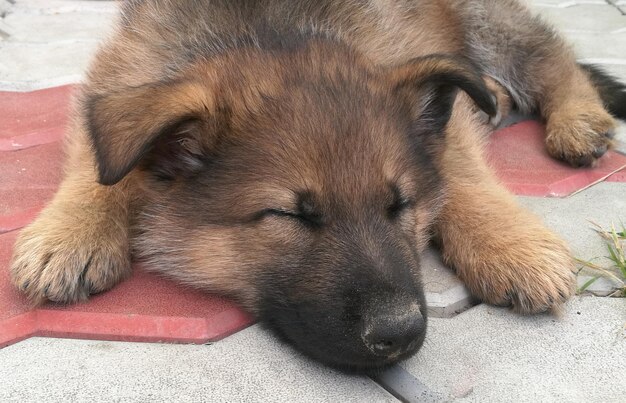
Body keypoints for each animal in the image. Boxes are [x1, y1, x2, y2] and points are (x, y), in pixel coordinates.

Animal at [11, 0, 624, 370]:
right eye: (290, 216)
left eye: (401, 204)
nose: (401, 335)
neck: (266, 33)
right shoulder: (120, 77)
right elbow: (99, 157)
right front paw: (72, 233)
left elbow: (461, 167)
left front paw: (510, 245)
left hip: (487, 23)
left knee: (554, 58)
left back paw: (578, 120)